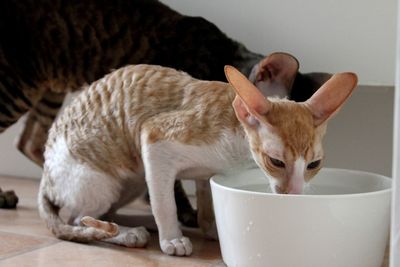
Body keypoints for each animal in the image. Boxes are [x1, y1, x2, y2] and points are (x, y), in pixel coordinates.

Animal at [37, 63, 356, 258]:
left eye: (313, 165)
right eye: (276, 162)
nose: (295, 192)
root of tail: (45, 179)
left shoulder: (205, 172)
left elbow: (205, 203)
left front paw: (211, 229)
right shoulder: (155, 138)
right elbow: (164, 204)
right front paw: (172, 239)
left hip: (132, 180)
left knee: (103, 213)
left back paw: (132, 222)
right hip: (103, 180)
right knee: (77, 218)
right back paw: (131, 235)